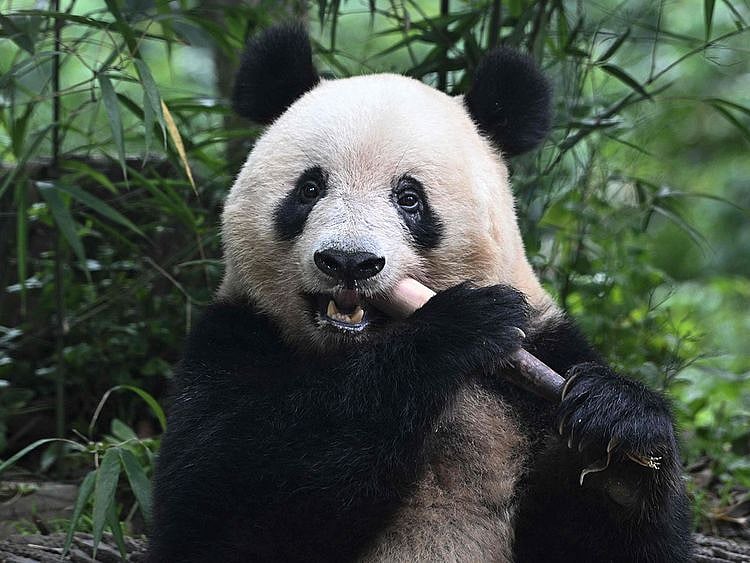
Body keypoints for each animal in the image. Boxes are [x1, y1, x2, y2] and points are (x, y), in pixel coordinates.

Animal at [148, 23, 692, 562]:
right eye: (309, 189)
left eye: (409, 198)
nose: (349, 262)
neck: (356, 348)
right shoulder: (234, 338)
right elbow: (224, 504)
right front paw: (459, 327)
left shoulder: (540, 361)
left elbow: (611, 538)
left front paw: (619, 431)